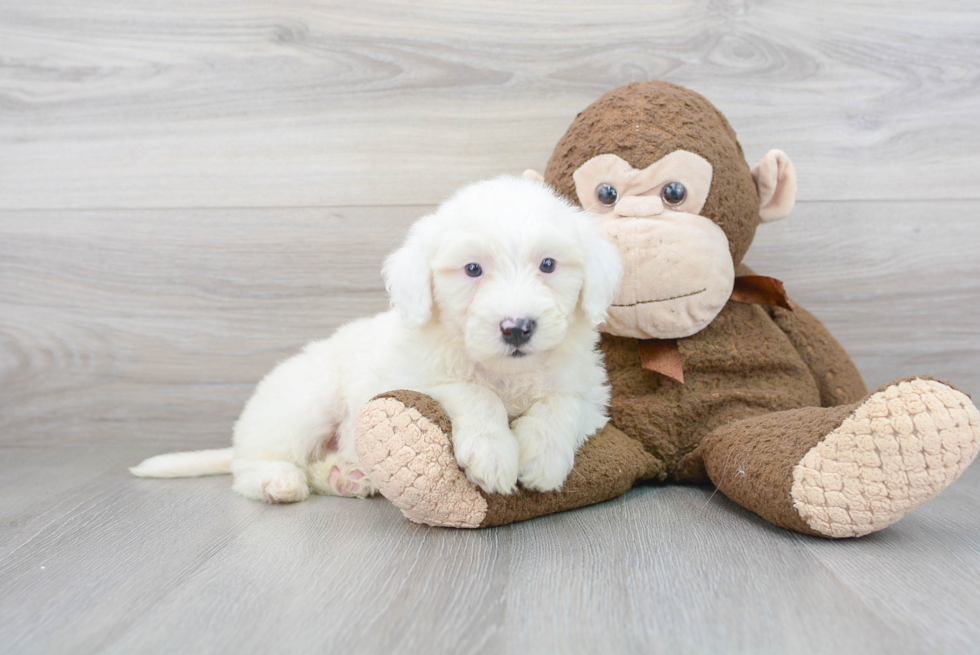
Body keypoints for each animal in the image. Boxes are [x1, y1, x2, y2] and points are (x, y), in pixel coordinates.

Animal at [132, 177, 620, 504]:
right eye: (473, 270)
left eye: (549, 264)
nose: (516, 327)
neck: (508, 372)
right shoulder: (416, 378)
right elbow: (472, 392)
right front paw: (494, 453)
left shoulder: (591, 396)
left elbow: (562, 402)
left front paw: (542, 456)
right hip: (305, 403)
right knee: (251, 463)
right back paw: (278, 481)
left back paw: (346, 475)